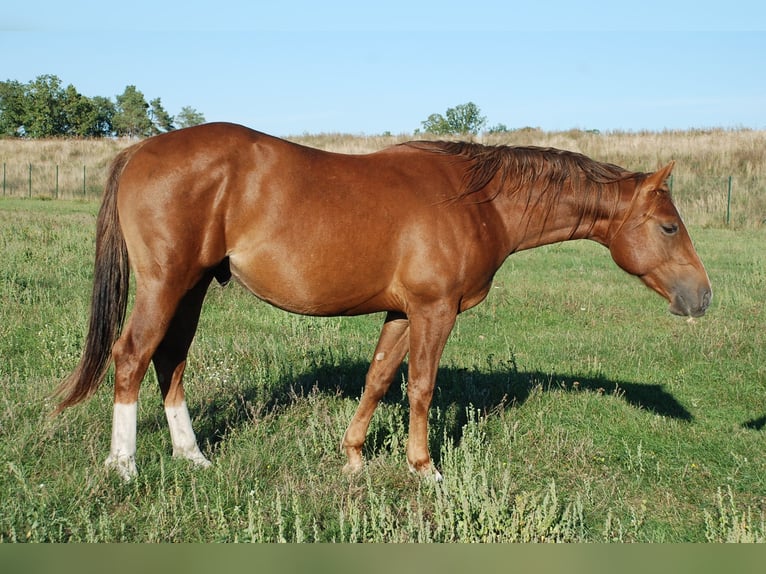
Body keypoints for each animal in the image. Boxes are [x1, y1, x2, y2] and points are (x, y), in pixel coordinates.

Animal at [54, 122, 711, 481]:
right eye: (670, 227)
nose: (702, 297)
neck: (478, 201)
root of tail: (139, 151)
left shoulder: (401, 312)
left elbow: (377, 379)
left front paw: (352, 457)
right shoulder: (433, 311)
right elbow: (420, 387)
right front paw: (426, 468)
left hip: (191, 288)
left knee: (171, 360)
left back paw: (192, 458)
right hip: (165, 284)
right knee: (132, 357)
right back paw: (124, 466)